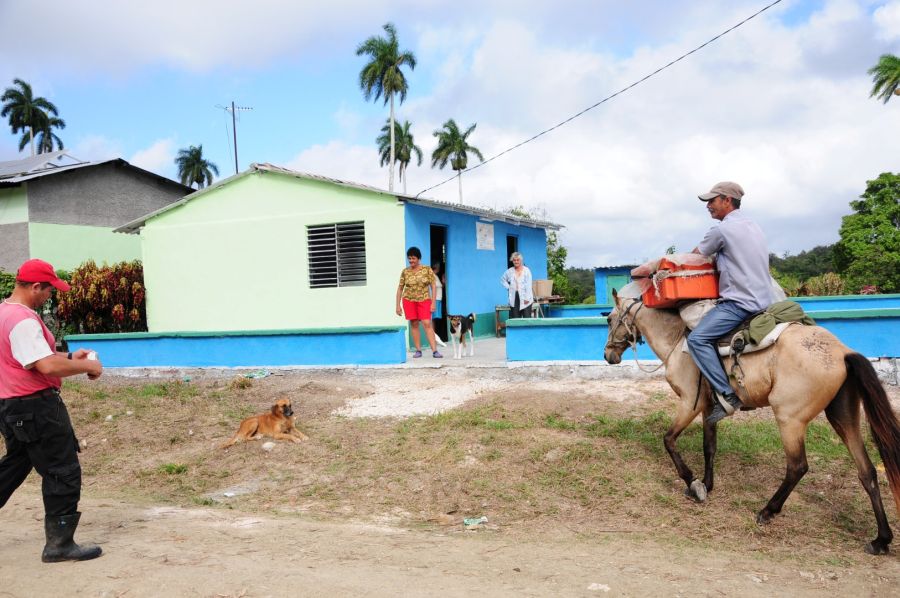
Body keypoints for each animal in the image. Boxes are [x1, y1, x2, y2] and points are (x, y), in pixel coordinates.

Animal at [600, 292, 900, 556]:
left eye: (610, 318)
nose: (607, 355)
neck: (677, 341)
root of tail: (843, 352)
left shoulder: (690, 403)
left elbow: (669, 440)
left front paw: (693, 484)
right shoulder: (709, 408)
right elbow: (709, 447)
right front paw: (707, 484)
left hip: (789, 418)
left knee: (797, 467)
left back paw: (768, 511)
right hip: (843, 417)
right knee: (867, 472)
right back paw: (881, 540)